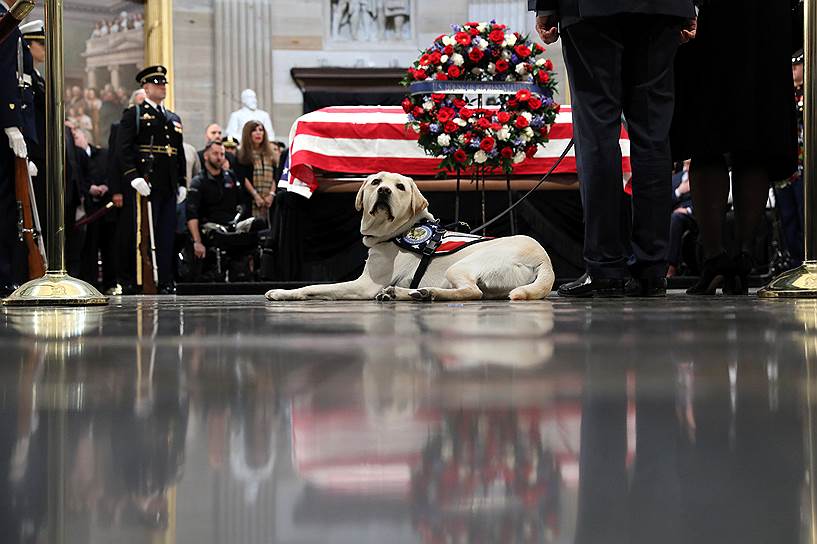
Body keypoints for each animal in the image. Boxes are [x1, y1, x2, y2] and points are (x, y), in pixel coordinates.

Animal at [266, 172, 556, 302]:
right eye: (375, 182)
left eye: (400, 187)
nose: (384, 191)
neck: (397, 231)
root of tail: (544, 259)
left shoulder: (365, 285)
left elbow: (315, 287)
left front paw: (283, 292)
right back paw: (407, 293)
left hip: (460, 266)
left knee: (471, 293)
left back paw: (423, 293)